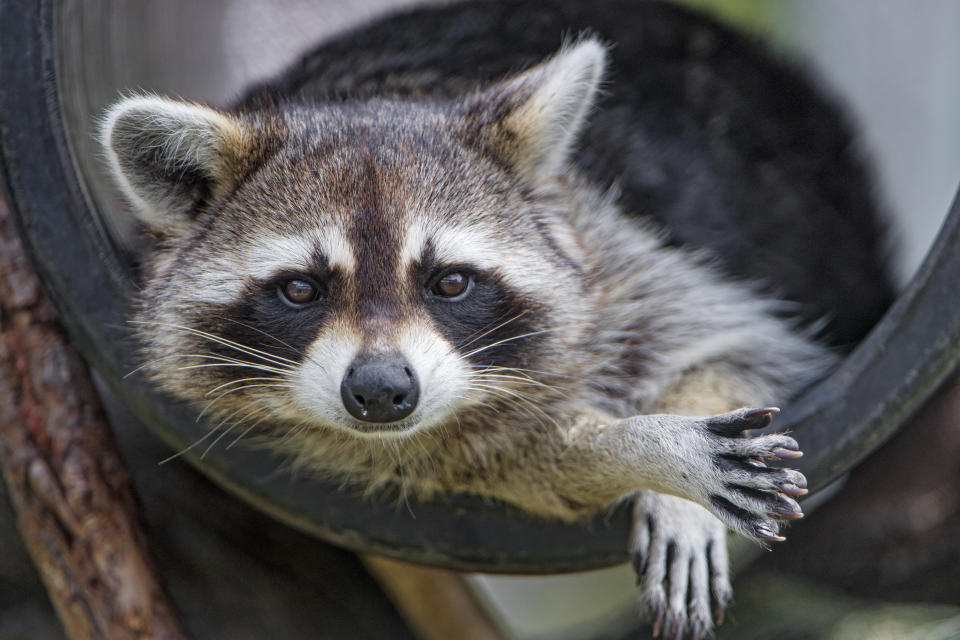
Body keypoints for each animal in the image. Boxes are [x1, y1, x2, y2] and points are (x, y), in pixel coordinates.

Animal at [99, 2, 892, 636]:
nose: (382, 392)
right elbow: (519, 462)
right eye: (301, 290)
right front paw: (644, 446)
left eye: (451, 281)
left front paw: (674, 436)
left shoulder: (614, 260)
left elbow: (740, 345)